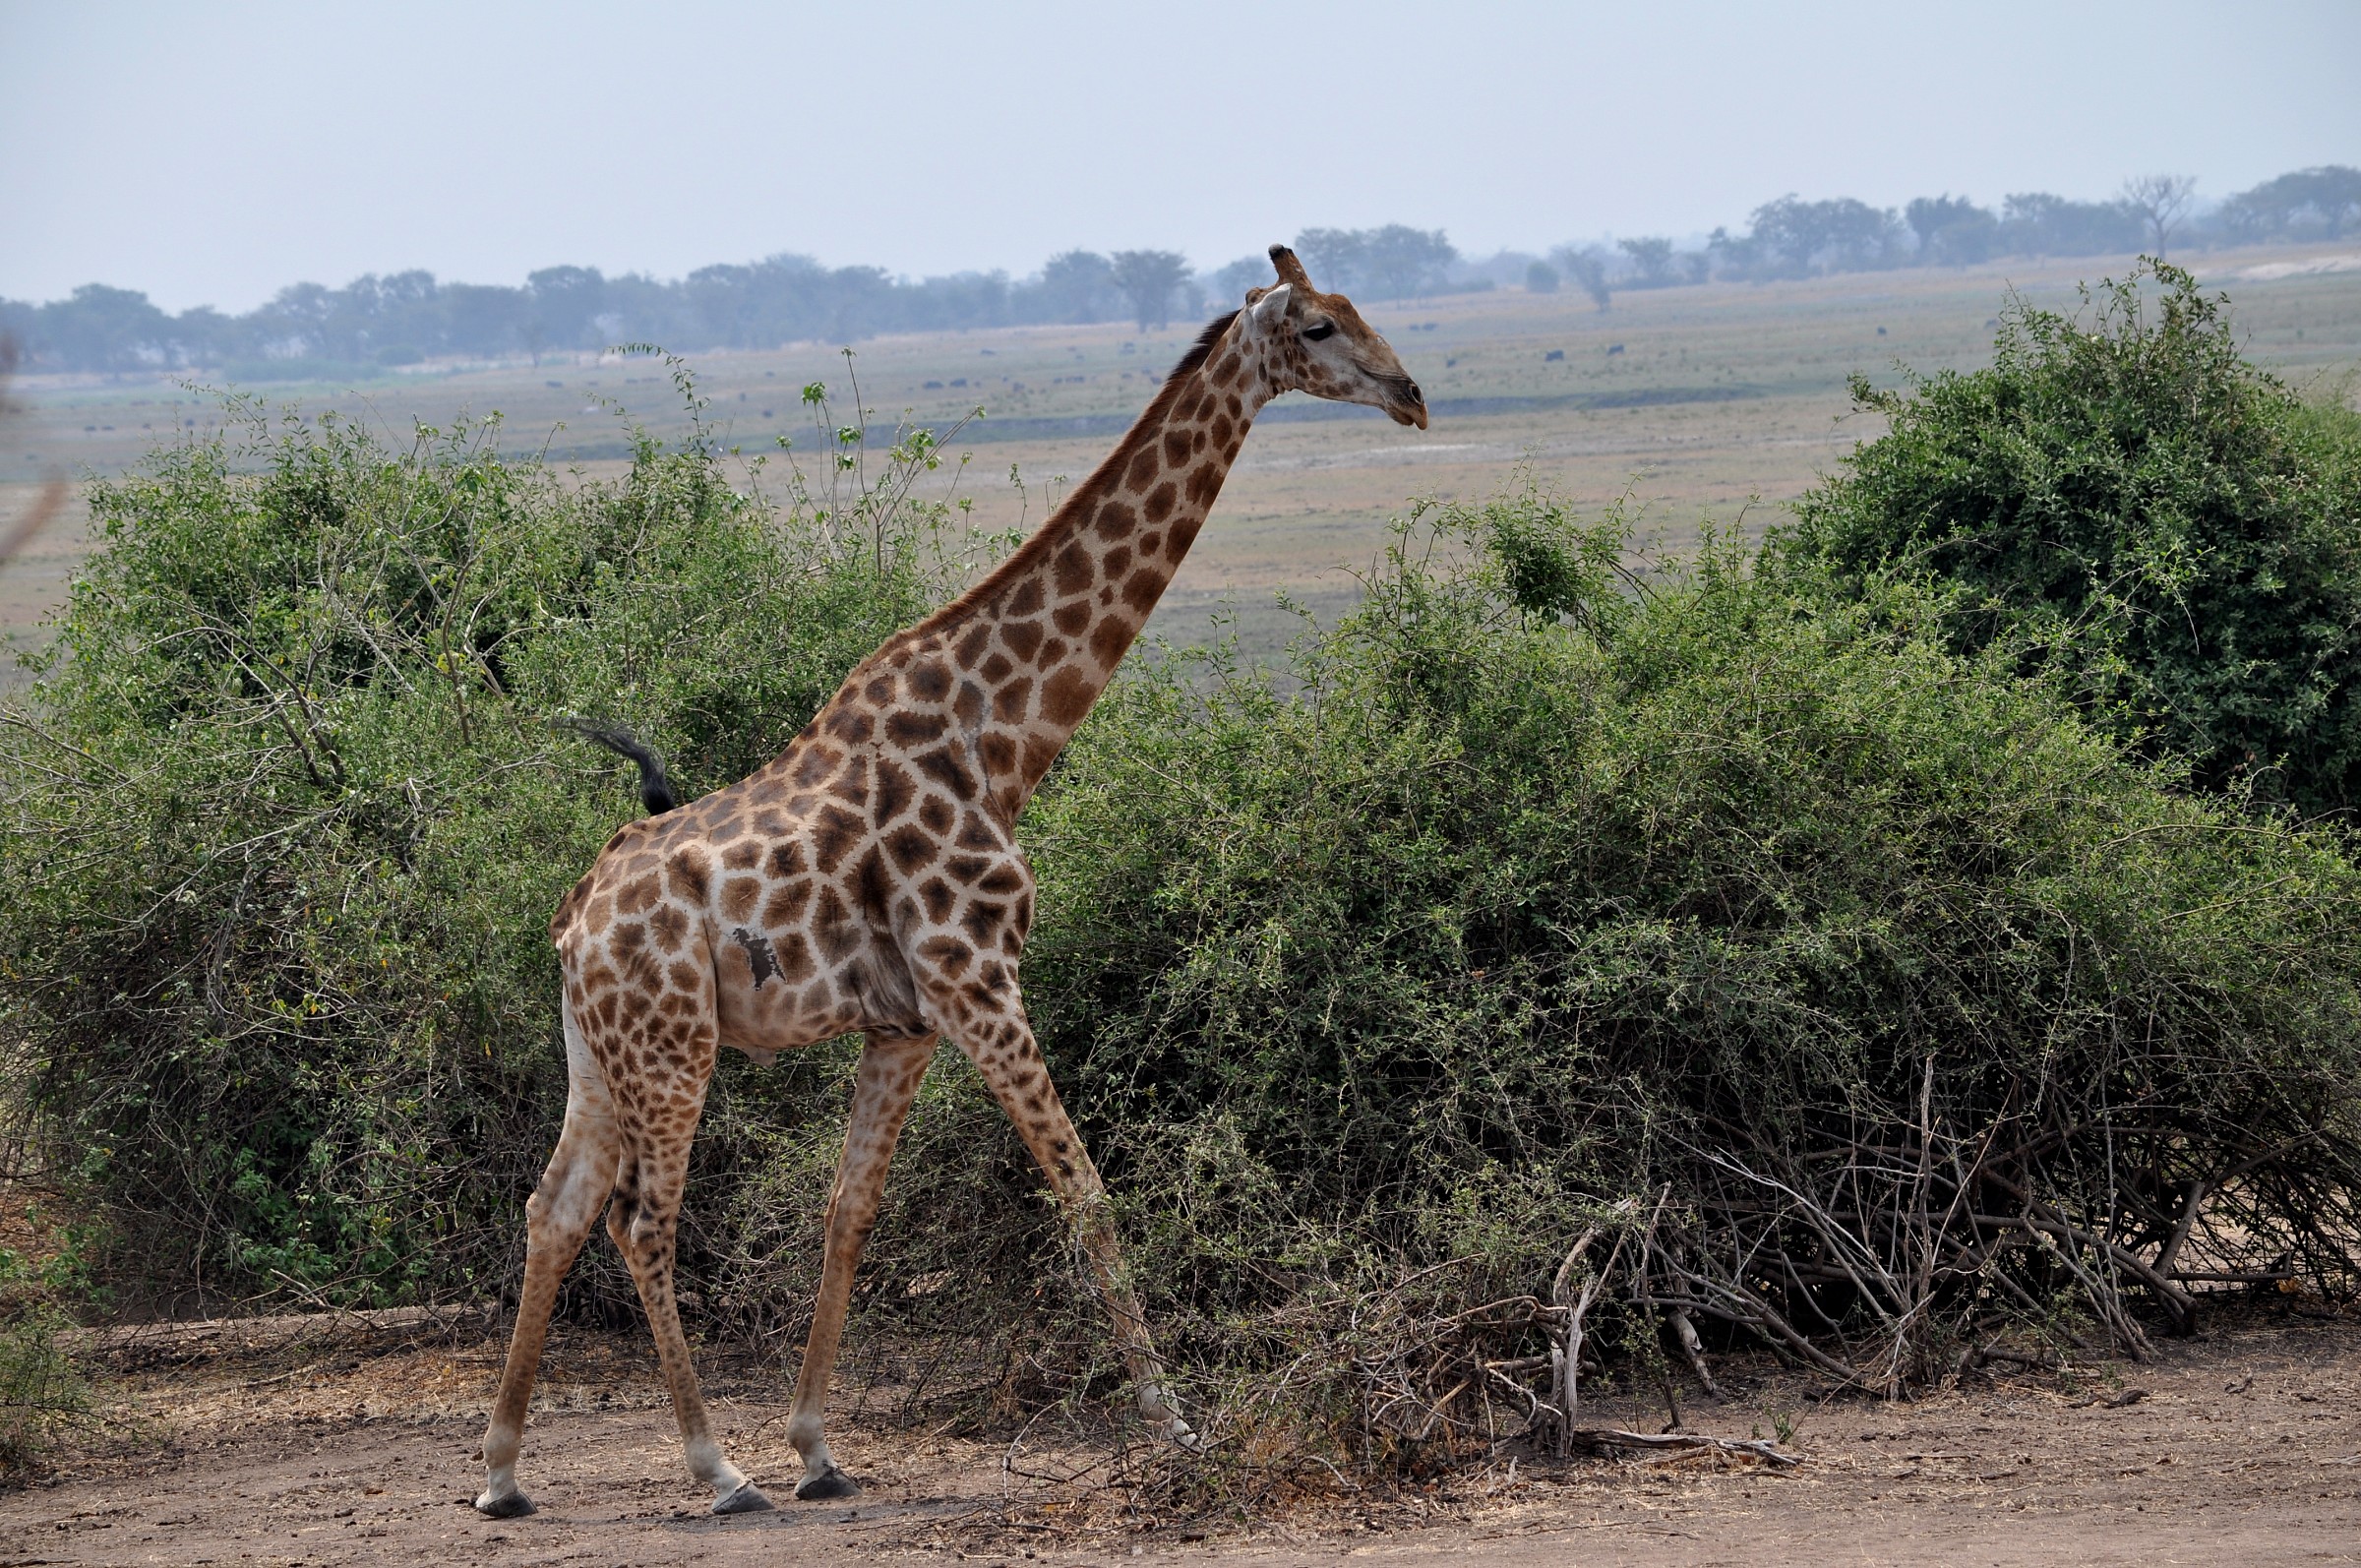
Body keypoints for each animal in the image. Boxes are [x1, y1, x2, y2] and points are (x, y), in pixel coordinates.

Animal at [475, 244, 1428, 1518]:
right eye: (1320, 326)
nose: (1412, 395)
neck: (1005, 737)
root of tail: (574, 920)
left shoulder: (908, 1020)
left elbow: (848, 1209)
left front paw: (818, 1446)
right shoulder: (980, 982)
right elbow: (1085, 1190)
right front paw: (1177, 1425)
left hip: (602, 1047)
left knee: (557, 1206)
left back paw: (503, 1470)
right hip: (675, 1044)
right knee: (640, 1219)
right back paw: (714, 1467)